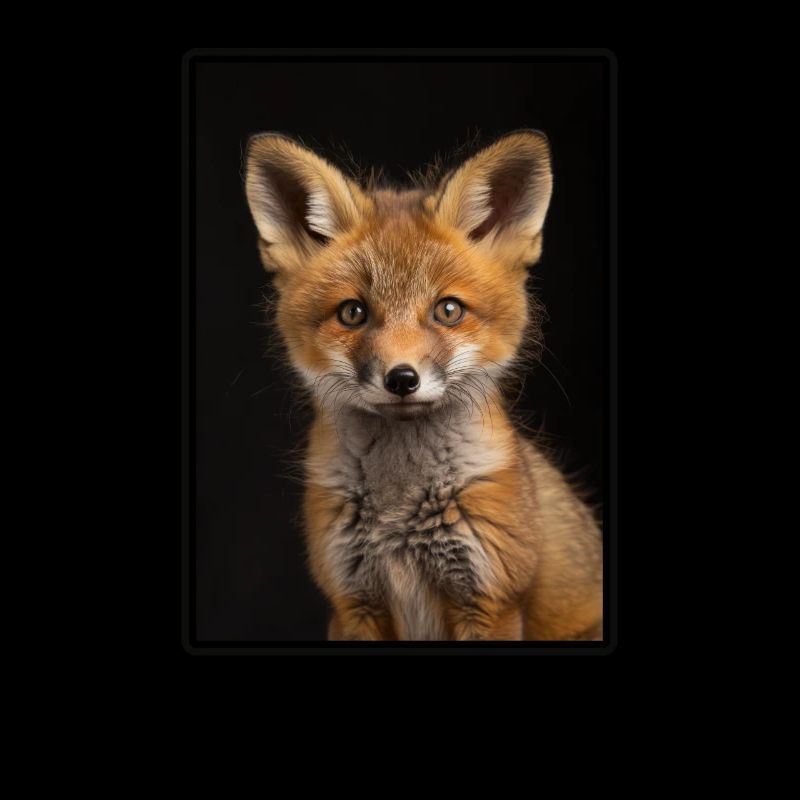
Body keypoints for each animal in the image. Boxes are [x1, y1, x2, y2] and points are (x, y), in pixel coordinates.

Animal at [243, 130, 603, 641]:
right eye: (352, 313)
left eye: (448, 310)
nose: (401, 378)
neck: (399, 512)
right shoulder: (353, 603)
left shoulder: (490, 601)